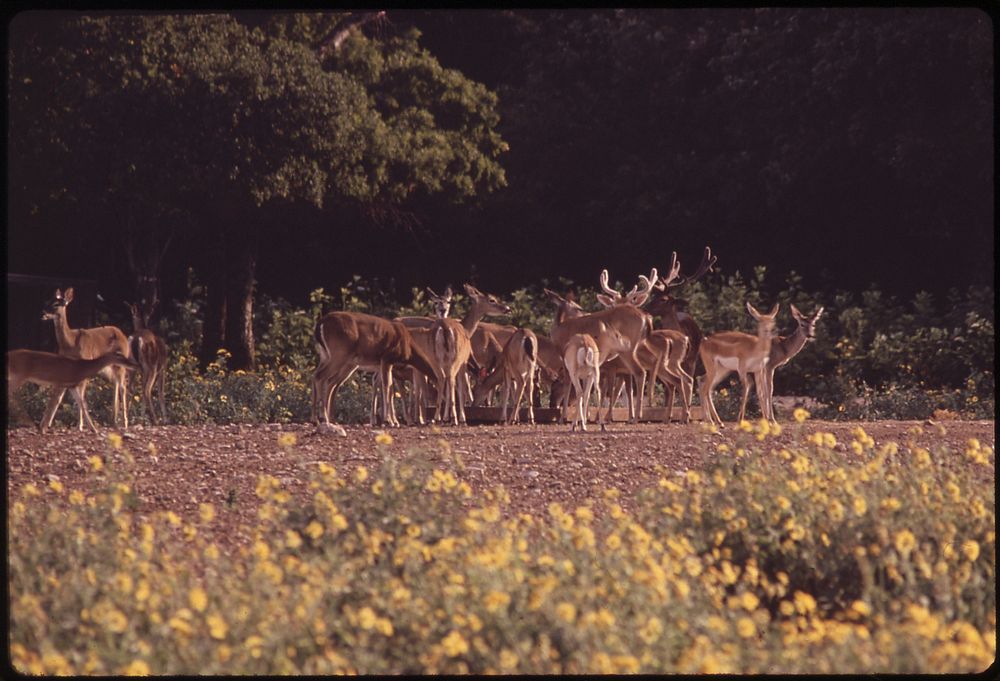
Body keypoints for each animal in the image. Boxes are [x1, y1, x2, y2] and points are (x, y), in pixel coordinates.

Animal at [8, 348, 139, 432]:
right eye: (119, 355)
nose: (134, 364)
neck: (81, 368)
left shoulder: (72, 385)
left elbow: (82, 404)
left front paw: (94, 429)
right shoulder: (60, 381)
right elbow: (53, 403)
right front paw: (43, 428)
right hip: (19, 375)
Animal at [42, 288, 133, 428]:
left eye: (56, 304)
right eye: (48, 301)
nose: (43, 313)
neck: (70, 342)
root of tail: (123, 334)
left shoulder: (84, 365)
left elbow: (81, 395)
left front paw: (80, 425)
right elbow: (63, 396)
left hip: (120, 362)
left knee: (123, 386)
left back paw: (125, 422)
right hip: (108, 366)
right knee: (116, 383)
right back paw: (113, 420)